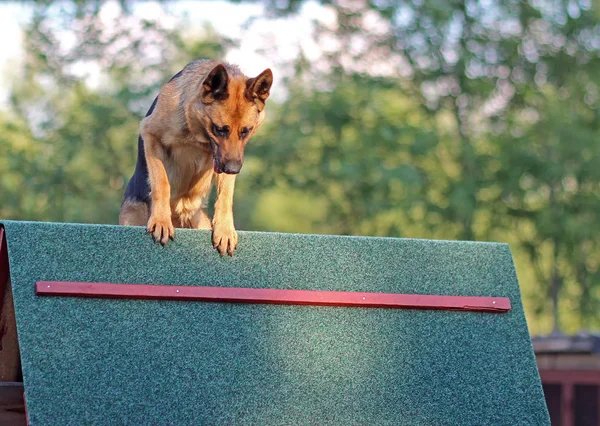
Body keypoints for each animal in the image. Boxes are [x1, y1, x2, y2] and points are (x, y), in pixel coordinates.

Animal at [118, 60, 274, 256]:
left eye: (245, 131)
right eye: (219, 129)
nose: (233, 170)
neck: (197, 136)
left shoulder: (225, 159)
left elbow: (225, 195)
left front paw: (225, 230)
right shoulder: (150, 135)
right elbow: (162, 182)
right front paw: (161, 220)